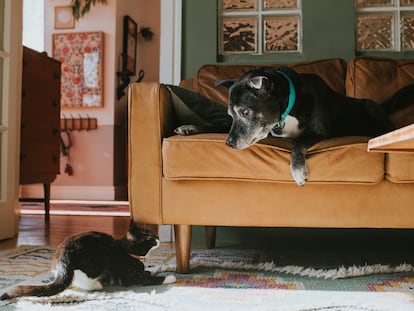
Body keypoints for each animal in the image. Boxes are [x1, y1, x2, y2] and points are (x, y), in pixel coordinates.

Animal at [0, 221, 175, 302]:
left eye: (151, 233)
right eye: (149, 237)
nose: (158, 237)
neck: (127, 251)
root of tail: (63, 257)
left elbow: (153, 269)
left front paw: (167, 266)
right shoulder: (131, 276)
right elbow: (149, 277)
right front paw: (171, 278)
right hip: (97, 261)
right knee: (81, 280)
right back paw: (98, 284)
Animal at [175, 67, 414, 185]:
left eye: (245, 112)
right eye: (231, 114)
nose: (229, 144)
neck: (290, 104)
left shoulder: (319, 132)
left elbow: (298, 144)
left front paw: (298, 172)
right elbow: (217, 123)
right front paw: (191, 127)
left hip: (371, 108)